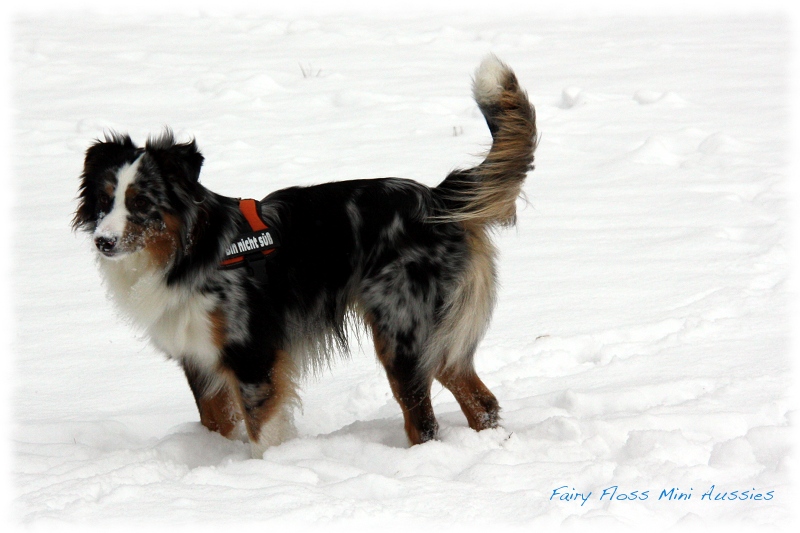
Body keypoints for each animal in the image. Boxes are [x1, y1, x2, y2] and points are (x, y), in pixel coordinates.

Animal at [73, 55, 536, 458]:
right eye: (104, 200)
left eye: (141, 202)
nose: (104, 242)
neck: (191, 250)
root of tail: (437, 199)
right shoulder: (199, 357)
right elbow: (218, 424)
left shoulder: (253, 354)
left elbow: (261, 434)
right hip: (435, 336)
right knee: (481, 401)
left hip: (401, 329)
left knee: (423, 421)